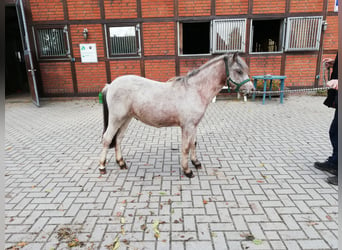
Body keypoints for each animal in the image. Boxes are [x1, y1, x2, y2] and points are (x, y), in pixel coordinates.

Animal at [99, 52, 254, 178]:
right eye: (238, 71)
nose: (252, 89)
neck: (195, 90)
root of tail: (110, 85)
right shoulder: (187, 126)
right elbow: (185, 147)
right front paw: (187, 171)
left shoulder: (194, 125)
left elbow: (193, 143)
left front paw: (196, 163)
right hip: (116, 119)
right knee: (107, 139)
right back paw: (102, 166)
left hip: (126, 119)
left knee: (118, 139)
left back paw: (121, 163)